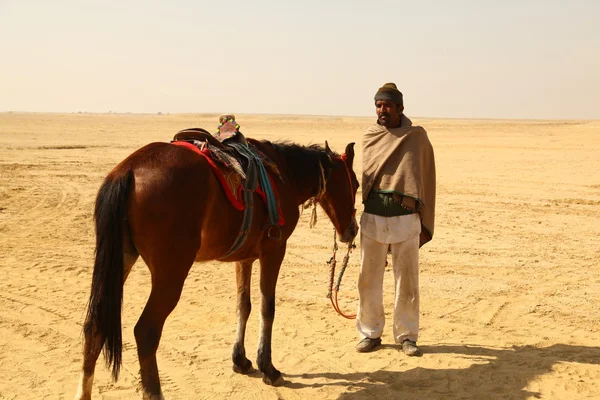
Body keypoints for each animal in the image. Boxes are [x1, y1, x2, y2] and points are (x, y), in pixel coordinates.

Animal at [72, 135, 358, 400]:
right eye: (355, 184)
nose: (352, 231)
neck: (285, 175)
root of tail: (128, 171)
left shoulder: (245, 258)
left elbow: (243, 305)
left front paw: (240, 360)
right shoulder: (274, 250)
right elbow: (267, 308)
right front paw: (268, 367)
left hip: (121, 259)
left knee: (95, 324)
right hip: (170, 274)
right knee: (146, 331)